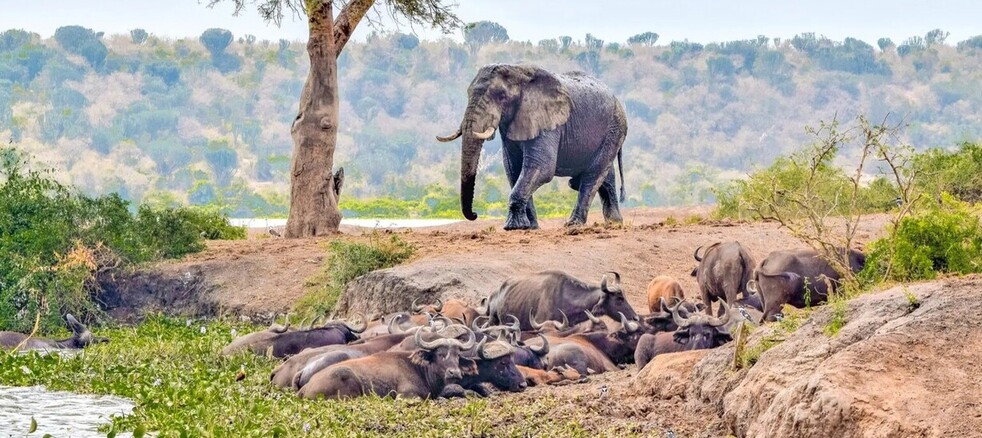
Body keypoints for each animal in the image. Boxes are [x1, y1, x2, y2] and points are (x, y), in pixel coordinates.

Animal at [437, 64, 628, 230]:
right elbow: (513, 169)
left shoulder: (547, 121)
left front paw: (513, 227)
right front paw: (528, 227)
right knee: (605, 176)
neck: (518, 72)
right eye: (468, 93)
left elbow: (541, 168)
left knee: (592, 176)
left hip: (614, 128)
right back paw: (614, 223)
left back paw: (574, 224)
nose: (475, 214)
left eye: (501, 96)